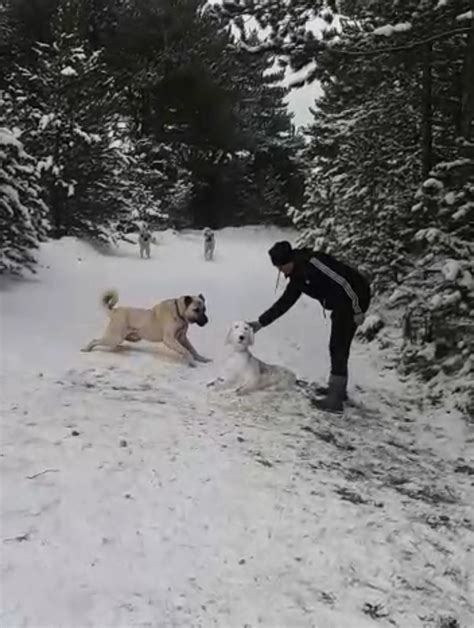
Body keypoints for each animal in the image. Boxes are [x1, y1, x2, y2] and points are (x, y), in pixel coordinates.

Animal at [80, 288, 210, 366]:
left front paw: (201, 358)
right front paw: (192, 362)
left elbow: (192, 349)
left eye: (204, 309)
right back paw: (86, 349)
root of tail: (115, 311)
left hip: (125, 337)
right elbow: (186, 351)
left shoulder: (182, 338)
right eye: (196, 310)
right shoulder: (170, 340)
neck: (179, 313)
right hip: (114, 337)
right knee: (95, 340)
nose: (206, 321)